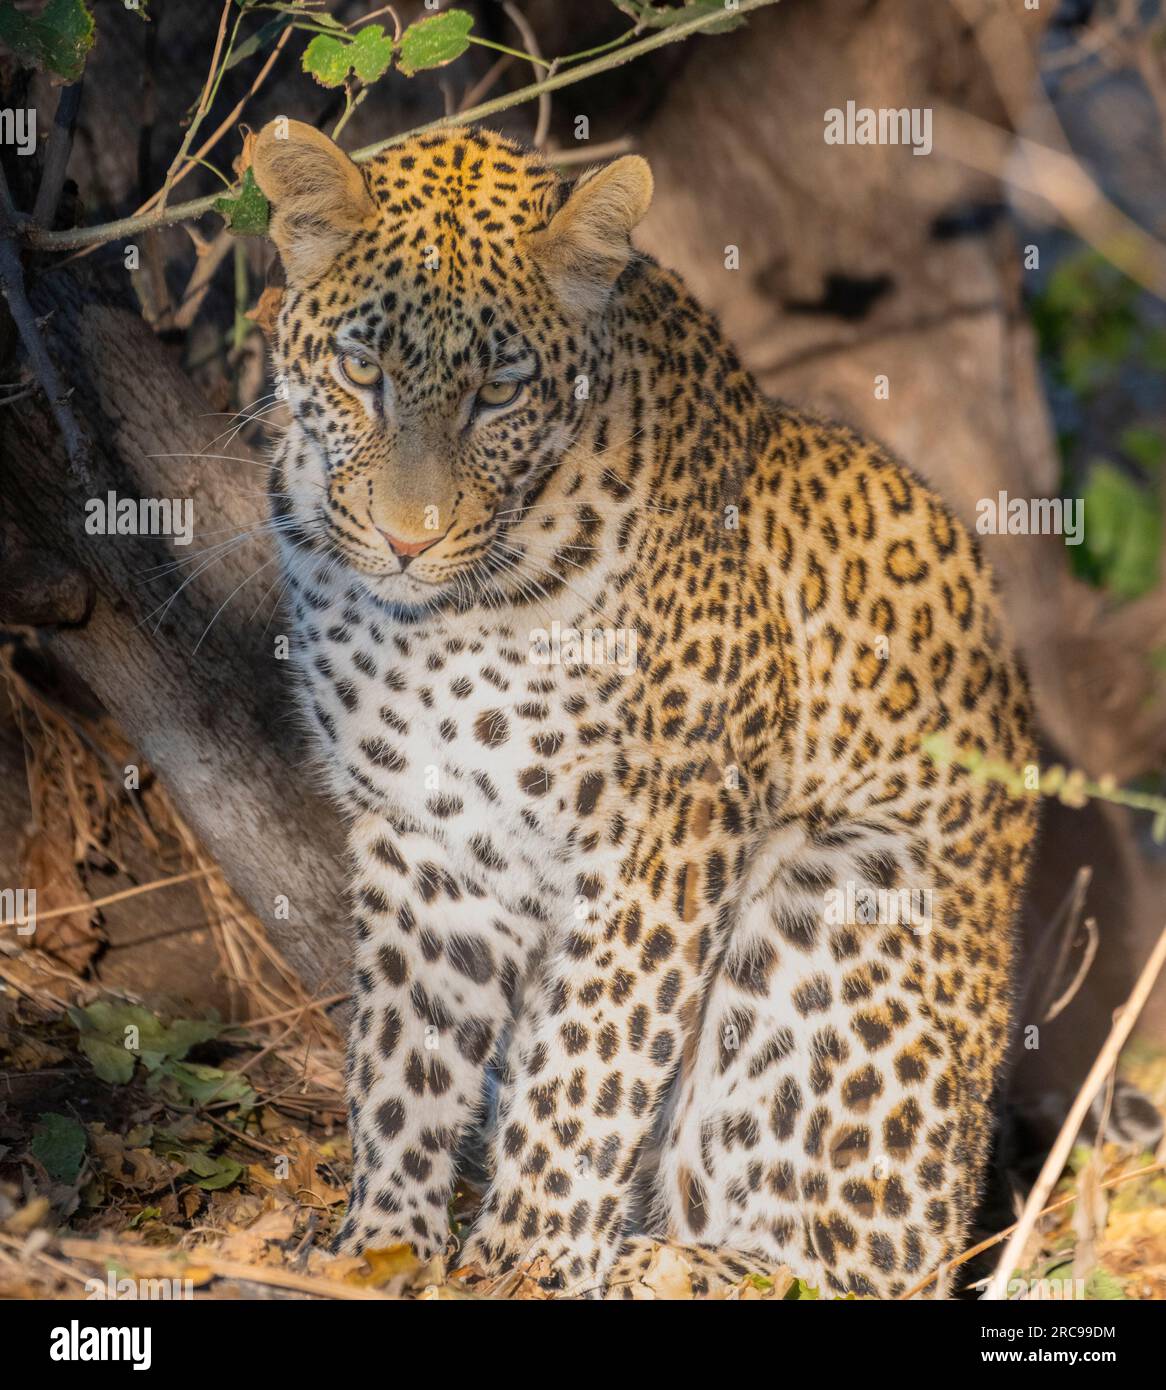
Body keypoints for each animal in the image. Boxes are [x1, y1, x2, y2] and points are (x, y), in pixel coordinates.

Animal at [250, 119, 1033, 1301]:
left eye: (499, 393)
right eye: (359, 371)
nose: (406, 540)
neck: (441, 618)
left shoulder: (665, 827)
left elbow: (590, 1059)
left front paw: (520, 1263)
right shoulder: (428, 833)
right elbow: (403, 1053)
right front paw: (380, 1245)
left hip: (835, 889)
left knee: (841, 1268)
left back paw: (652, 1263)